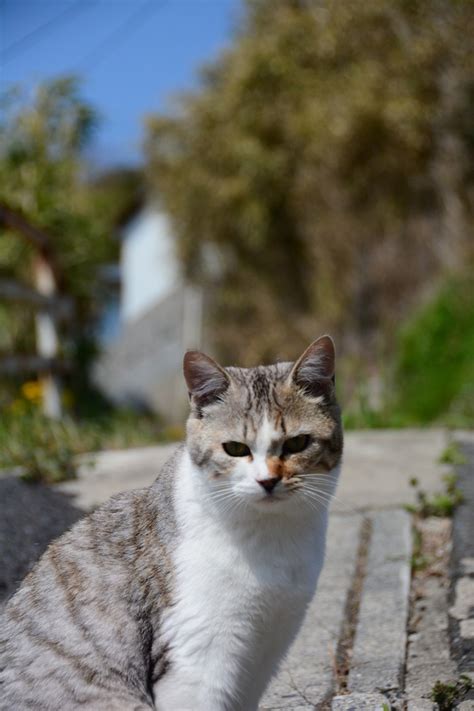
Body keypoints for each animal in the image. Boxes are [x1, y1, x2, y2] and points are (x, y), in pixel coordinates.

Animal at [0, 336, 340, 711]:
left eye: (297, 443)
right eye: (235, 449)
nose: (267, 481)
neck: (269, 534)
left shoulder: (267, 647)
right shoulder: (198, 653)